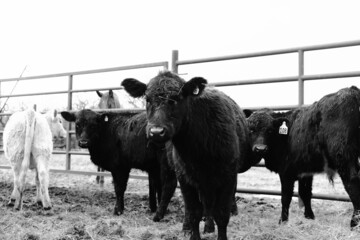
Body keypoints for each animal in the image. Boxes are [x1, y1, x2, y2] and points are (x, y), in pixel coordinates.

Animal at [121, 71, 253, 240]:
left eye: (176, 99)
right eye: (147, 99)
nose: (156, 132)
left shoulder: (228, 177)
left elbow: (222, 214)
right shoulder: (185, 177)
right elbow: (193, 212)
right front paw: (192, 233)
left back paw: (208, 227)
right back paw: (187, 227)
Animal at [246, 86, 360, 229]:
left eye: (270, 130)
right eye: (251, 130)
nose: (260, 148)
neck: (284, 137)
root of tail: (351, 91)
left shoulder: (286, 172)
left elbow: (286, 196)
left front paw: (283, 221)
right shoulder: (305, 171)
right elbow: (305, 193)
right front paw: (309, 217)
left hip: (343, 156)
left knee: (352, 183)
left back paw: (354, 222)